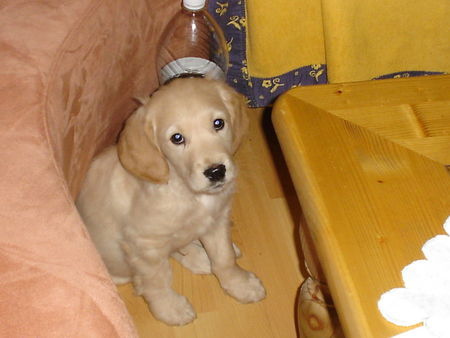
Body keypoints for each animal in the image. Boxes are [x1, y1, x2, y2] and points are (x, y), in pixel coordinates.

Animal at [77, 78, 266, 324]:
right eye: (177, 138)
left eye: (218, 123)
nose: (216, 172)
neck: (187, 192)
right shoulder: (144, 245)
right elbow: (157, 282)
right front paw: (170, 309)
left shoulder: (217, 220)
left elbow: (224, 257)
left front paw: (240, 284)